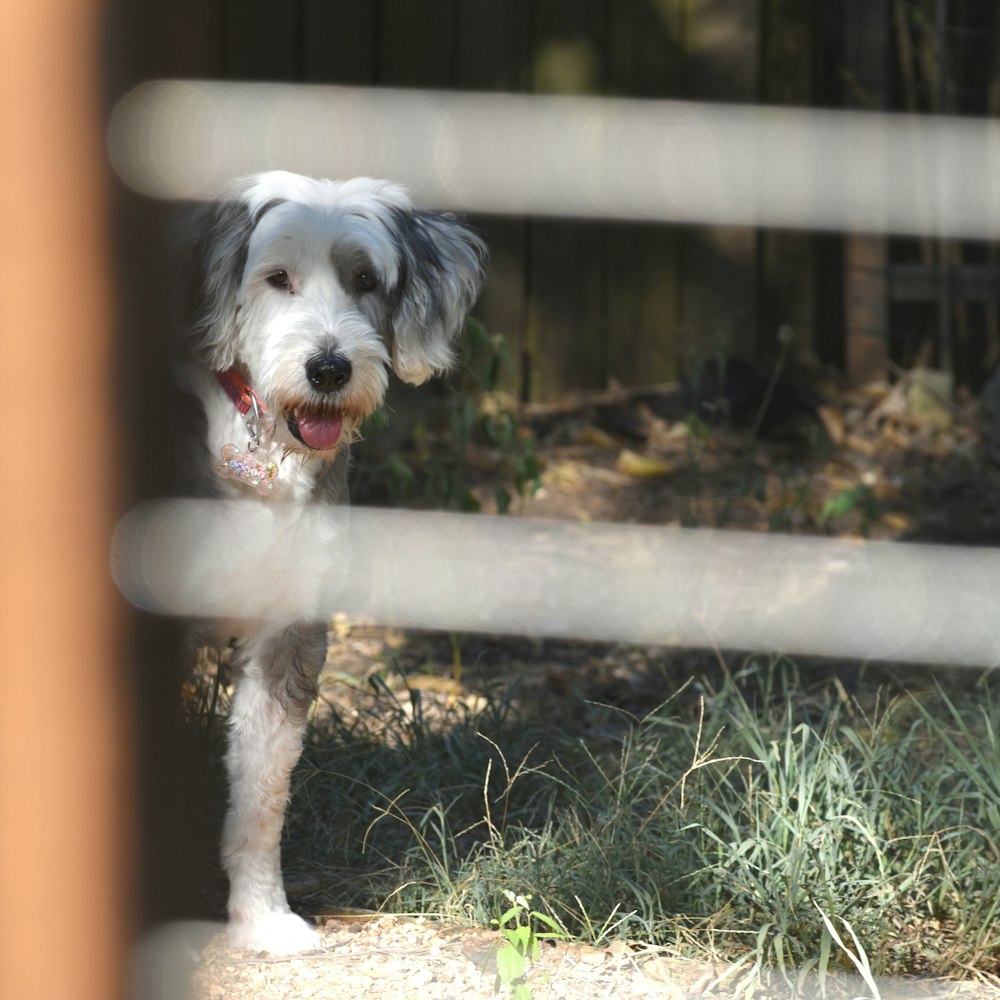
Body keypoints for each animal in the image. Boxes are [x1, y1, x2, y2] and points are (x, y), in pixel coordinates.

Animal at [183, 172, 488, 952]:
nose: (328, 369)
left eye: (365, 280)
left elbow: (262, 792)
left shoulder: (290, 629)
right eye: (276, 278)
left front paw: (263, 919)